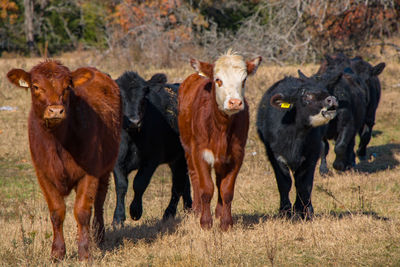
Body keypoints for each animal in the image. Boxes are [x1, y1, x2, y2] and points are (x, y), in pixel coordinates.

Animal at [6, 61, 121, 262]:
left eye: (67, 87)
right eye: (36, 86)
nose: (56, 111)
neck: (58, 142)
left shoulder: (90, 172)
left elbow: (82, 212)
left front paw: (84, 253)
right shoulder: (43, 174)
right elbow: (57, 212)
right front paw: (57, 253)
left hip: (106, 168)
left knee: (99, 201)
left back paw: (99, 237)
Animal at [112, 70, 192, 226]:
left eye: (144, 97)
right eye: (120, 97)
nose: (134, 121)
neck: (133, 138)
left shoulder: (151, 160)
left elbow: (139, 183)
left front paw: (135, 211)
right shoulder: (117, 160)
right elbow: (121, 186)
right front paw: (118, 219)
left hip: (183, 156)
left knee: (178, 185)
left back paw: (169, 214)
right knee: (184, 183)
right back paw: (189, 209)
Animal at [177, 51, 260, 231]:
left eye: (244, 80)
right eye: (218, 80)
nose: (235, 102)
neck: (221, 127)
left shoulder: (237, 154)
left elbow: (226, 190)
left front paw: (226, 222)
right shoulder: (200, 153)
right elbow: (206, 189)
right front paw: (205, 222)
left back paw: (218, 212)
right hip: (187, 148)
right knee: (194, 177)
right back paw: (197, 209)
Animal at [256, 72, 338, 219]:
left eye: (326, 91)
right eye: (306, 95)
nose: (331, 99)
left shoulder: (311, 155)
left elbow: (304, 184)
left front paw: (304, 211)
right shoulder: (275, 156)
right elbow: (284, 183)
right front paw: (285, 211)